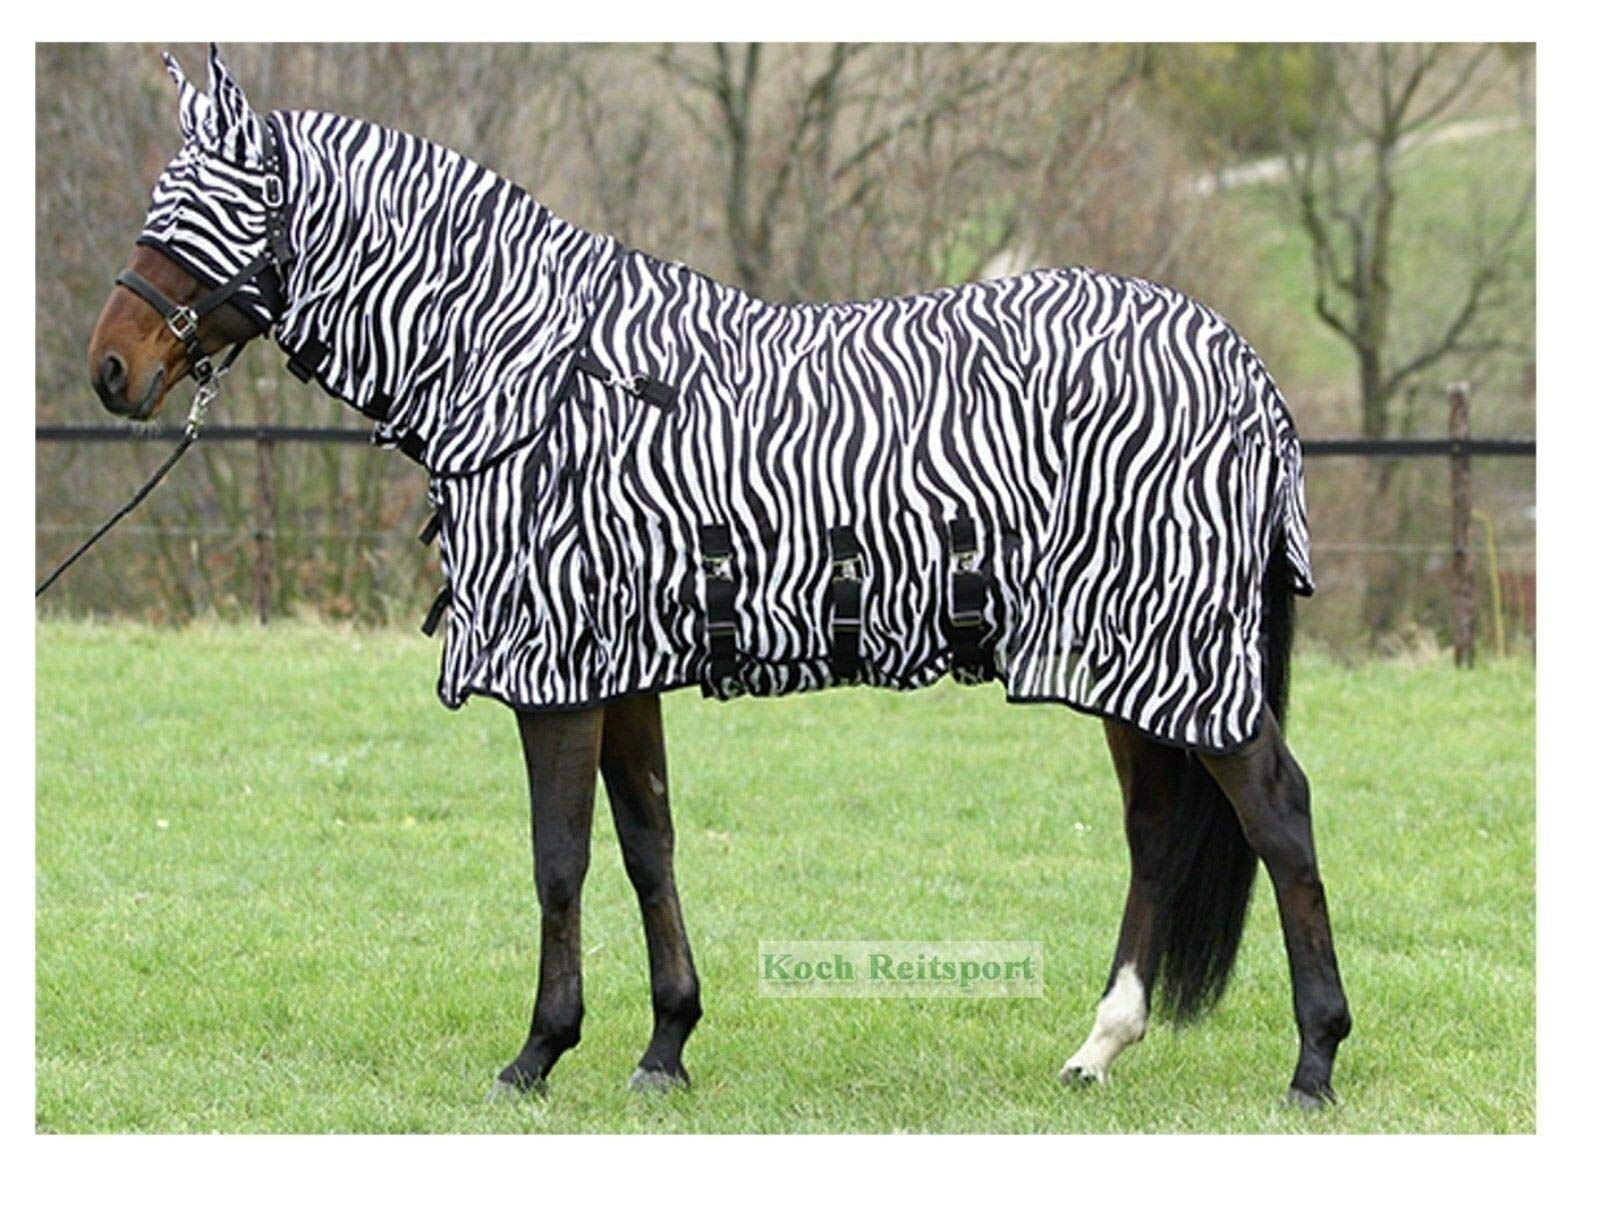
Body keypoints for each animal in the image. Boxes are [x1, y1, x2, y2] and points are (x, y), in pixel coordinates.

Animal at [88, 45, 1351, 1107]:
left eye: (192, 219)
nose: (109, 369)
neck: (536, 379)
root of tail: (1244, 371)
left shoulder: (557, 675)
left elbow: (558, 860)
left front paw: (538, 1052)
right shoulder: (621, 673)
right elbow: (648, 845)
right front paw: (664, 1045)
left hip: (1172, 651)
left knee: (1280, 816)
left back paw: (1314, 1061)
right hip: (1127, 659)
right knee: (1157, 832)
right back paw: (1100, 1047)